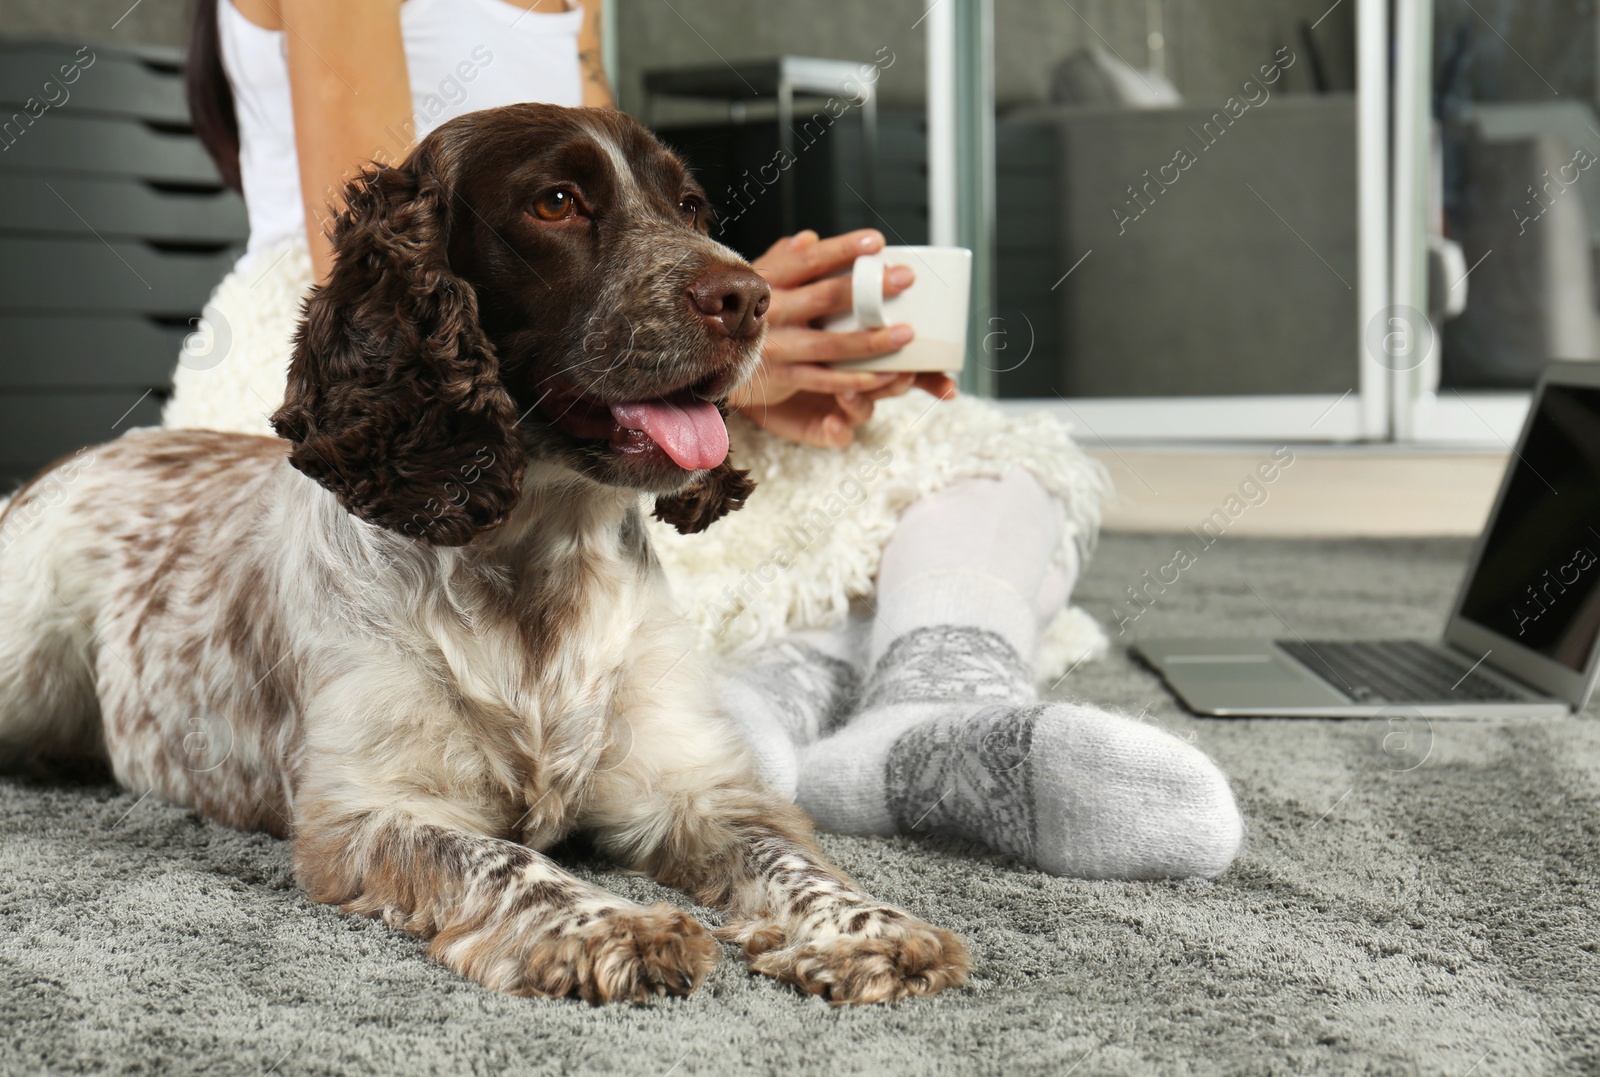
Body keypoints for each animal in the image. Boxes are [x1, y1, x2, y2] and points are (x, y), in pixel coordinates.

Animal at [0, 104, 960, 1004]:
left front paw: (873, 929)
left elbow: (788, 859)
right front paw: (609, 926)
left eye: (688, 206)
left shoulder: (692, 785)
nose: (749, 298)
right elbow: (509, 862)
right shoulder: (371, 808)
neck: (536, 557)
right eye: (556, 202)